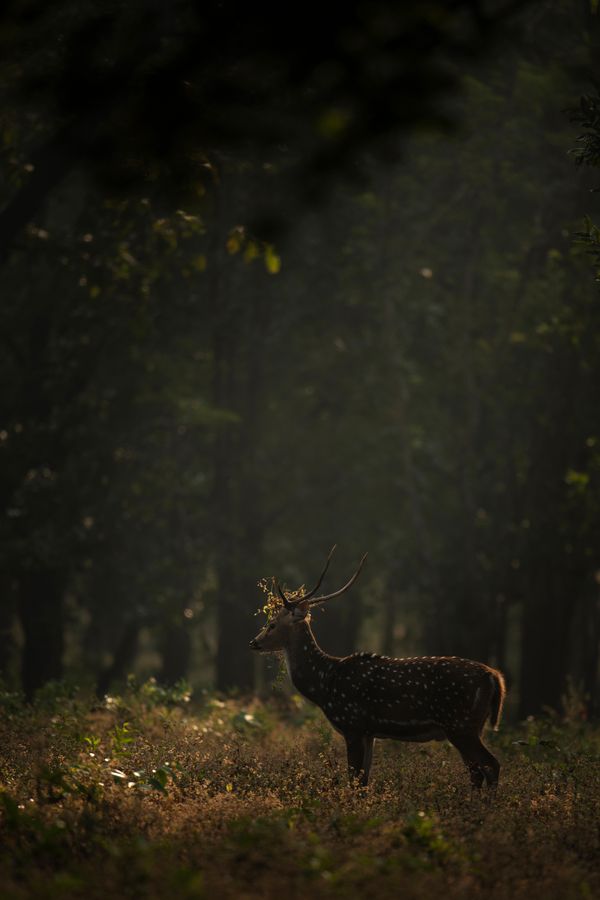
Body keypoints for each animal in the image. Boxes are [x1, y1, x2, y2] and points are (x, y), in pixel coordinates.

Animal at [248, 548, 506, 796]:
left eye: (272, 624)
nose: (254, 642)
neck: (324, 683)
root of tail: (495, 678)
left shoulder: (352, 724)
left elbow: (353, 779)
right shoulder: (369, 731)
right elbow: (363, 781)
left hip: (460, 724)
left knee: (490, 765)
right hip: (470, 726)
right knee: (477, 770)